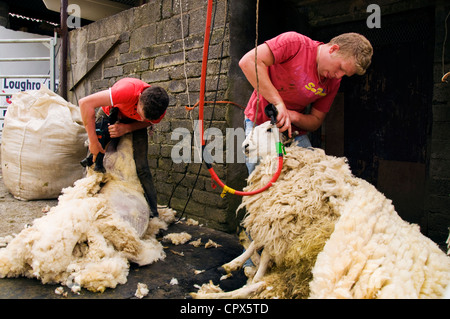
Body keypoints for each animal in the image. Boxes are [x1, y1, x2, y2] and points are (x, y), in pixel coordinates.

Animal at [191, 122, 450, 300]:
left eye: (269, 129)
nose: (245, 146)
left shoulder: (286, 225)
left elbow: (265, 254)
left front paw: (252, 268)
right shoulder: (275, 219)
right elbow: (259, 244)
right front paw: (237, 261)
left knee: (268, 285)